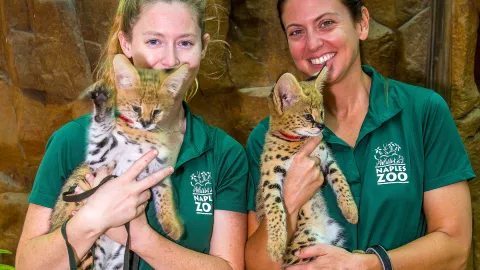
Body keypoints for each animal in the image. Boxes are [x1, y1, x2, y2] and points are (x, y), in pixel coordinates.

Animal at [256, 67, 358, 266]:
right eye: (308, 116)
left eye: (322, 113)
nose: (322, 126)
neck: (299, 141)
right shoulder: (270, 174)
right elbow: (274, 206)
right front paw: (276, 244)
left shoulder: (326, 159)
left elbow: (341, 181)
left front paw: (350, 209)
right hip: (306, 244)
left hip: (335, 235)